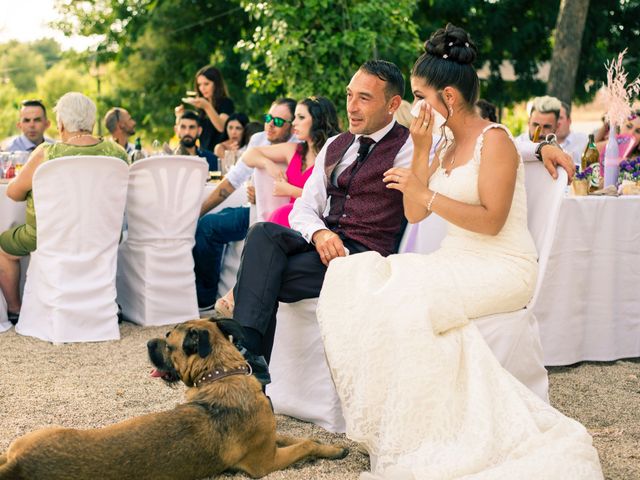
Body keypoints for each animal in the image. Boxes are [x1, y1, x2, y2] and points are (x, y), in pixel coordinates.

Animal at [0, 316, 348, 478]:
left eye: (168, 343)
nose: (146, 344)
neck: (223, 373)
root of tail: (19, 464)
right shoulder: (264, 463)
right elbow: (304, 444)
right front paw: (329, 449)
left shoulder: (271, 442)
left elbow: (293, 436)